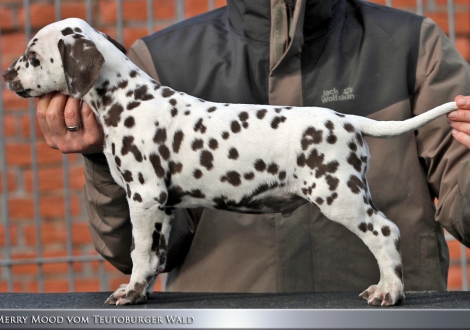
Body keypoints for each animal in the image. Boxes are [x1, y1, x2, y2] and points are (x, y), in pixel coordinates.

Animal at [2, 18, 458, 306]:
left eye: (32, 56)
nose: (6, 75)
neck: (127, 99)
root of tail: (345, 119)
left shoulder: (143, 198)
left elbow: (139, 253)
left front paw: (129, 292)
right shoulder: (163, 206)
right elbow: (154, 255)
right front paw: (142, 292)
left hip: (339, 196)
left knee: (385, 232)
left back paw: (389, 292)